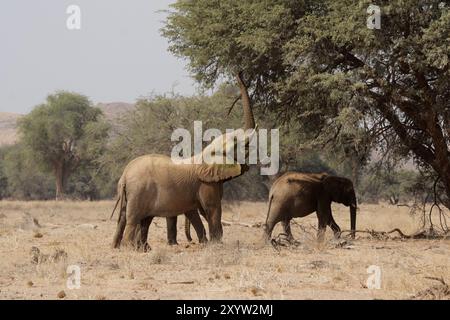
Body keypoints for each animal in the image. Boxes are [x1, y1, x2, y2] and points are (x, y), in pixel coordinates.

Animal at [110, 72, 255, 250]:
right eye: (235, 143)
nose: (238, 72)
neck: (205, 153)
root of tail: (124, 176)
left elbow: (198, 212)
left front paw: (206, 243)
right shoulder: (206, 184)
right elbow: (212, 208)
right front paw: (217, 244)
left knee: (124, 218)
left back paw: (121, 247)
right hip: (139, 192)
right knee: (133, 218)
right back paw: (131, 248)